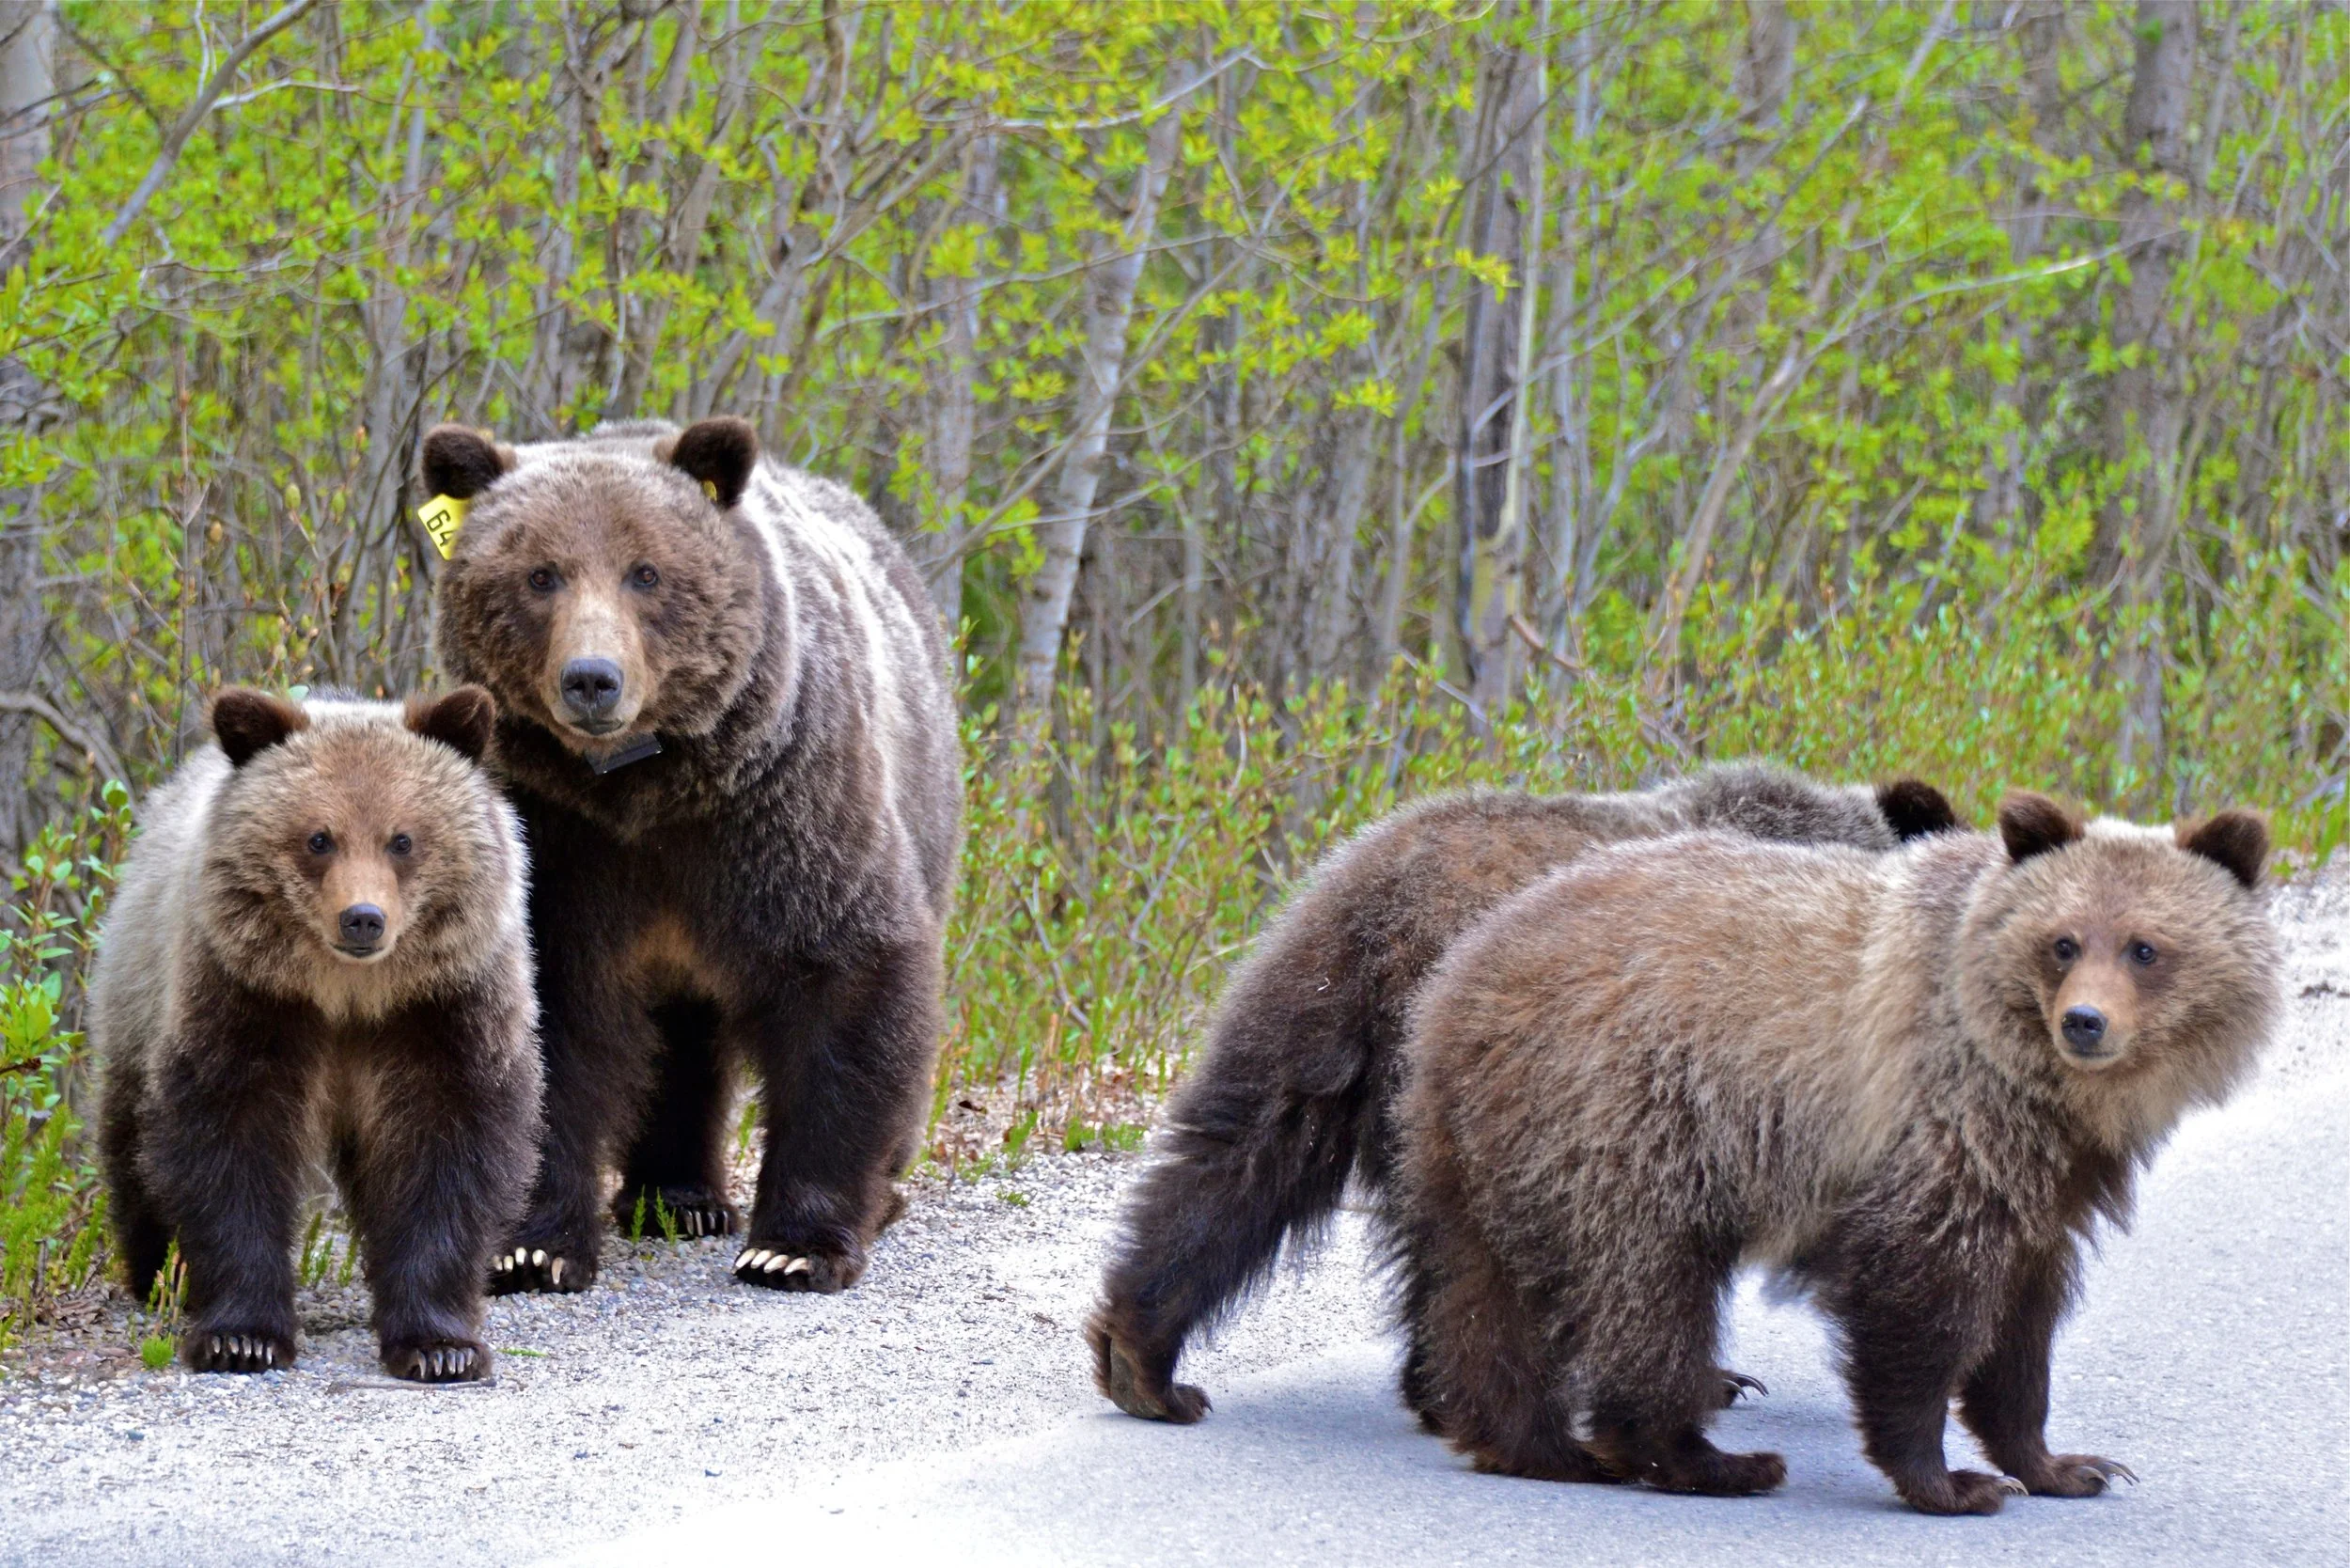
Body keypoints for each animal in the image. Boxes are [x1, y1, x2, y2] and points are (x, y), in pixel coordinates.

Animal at [94, 686, 537, 1382]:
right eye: (319, 838)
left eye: (402, 839)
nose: (364, 918)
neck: (348, 995)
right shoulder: (250, 998)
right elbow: (230, 1141)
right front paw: (241, 1337)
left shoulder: (441, 1008)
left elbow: (446, 1147)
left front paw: (440, 1346)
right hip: (138, 989)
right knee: (132, 1141)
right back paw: (156, 1271)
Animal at [423, 415, 961, 1296]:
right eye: (541, 575)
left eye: (646, 572)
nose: (592, 679)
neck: (648, 791)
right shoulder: (559, 841)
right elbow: (548, 1016)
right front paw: (531, 1248)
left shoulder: (784, 810)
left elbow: (849, 976)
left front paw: (793, 1247)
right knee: (680, 1038)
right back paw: (674, 1197)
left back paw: (873, 1197)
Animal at [1392, 794, 2279, 1514]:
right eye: (2062, 942)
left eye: (2144, 947)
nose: (2085, 1022)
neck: (2044, 1089)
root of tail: (1462, 975)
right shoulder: (1942, 1119)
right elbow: (1920, 1295)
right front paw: (1953, 1481)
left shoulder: (2049, 1172)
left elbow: (2025, 1322)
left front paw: (2066, 1465)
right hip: (1626, 1116)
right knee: (1646, 1287)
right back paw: (1710, 1458)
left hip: (1482, 1144)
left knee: (1480, 1293)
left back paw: (1533, 1444)